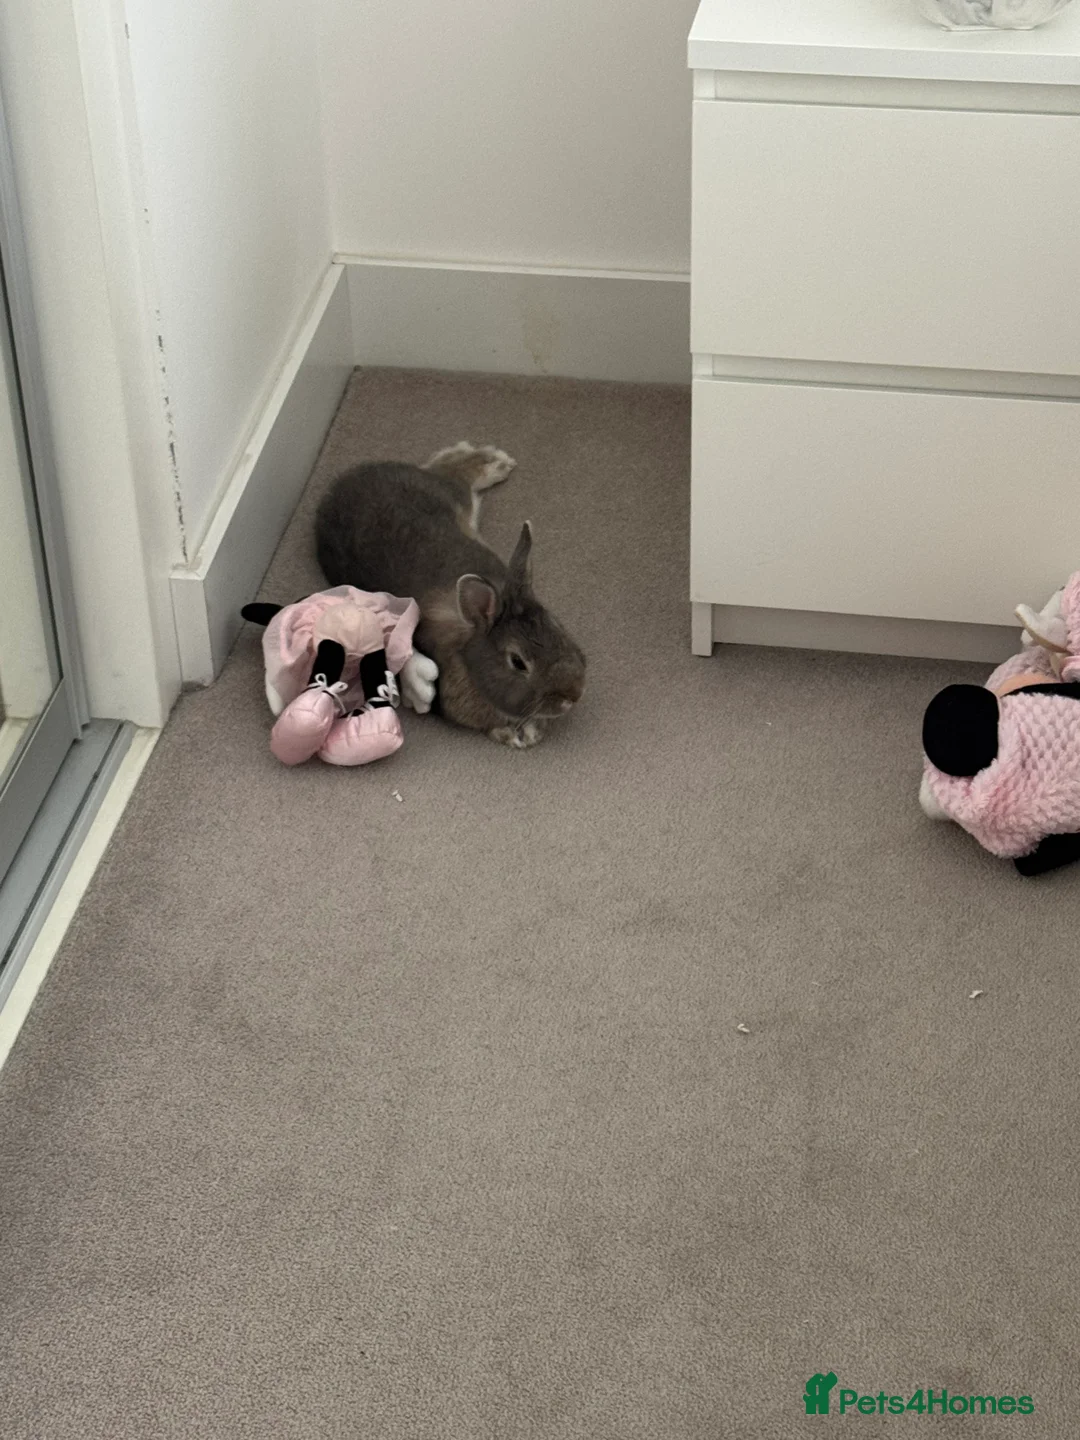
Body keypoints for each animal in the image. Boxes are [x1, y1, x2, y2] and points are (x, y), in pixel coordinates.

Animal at [315, 442, 586, 749]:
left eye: (556, 626)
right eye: (517, 662)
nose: (573, 694)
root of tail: (344, 481)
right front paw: (513, 734)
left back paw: (495, 460)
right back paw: (495, 461)